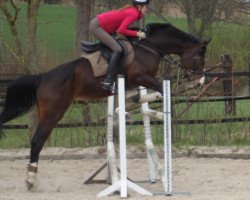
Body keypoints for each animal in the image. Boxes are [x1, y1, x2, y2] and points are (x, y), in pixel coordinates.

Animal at [0, 23, 209, 189]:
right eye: (199, 58)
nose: (200, 82)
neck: (149, 47)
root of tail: (42, 77)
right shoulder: (139, 77)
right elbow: (161, 89)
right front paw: (148, 100)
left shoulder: (136, 81)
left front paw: (136, 101)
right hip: (53, 114)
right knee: (37, 142)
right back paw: (30, 180)